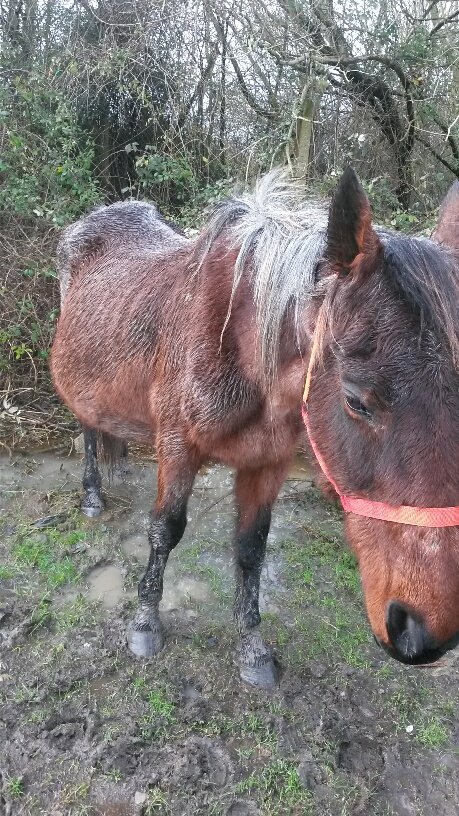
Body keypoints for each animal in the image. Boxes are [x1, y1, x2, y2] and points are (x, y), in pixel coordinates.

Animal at [50, 169, 459, 687]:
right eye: (356, 401)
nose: (420, 631)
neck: (240, 349)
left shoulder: (268, 463)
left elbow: (251, 549)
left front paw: (252, 647)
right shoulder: (177, 446)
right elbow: (165, 530)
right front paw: (145, 624)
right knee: (87, 430)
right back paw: (92, 495)